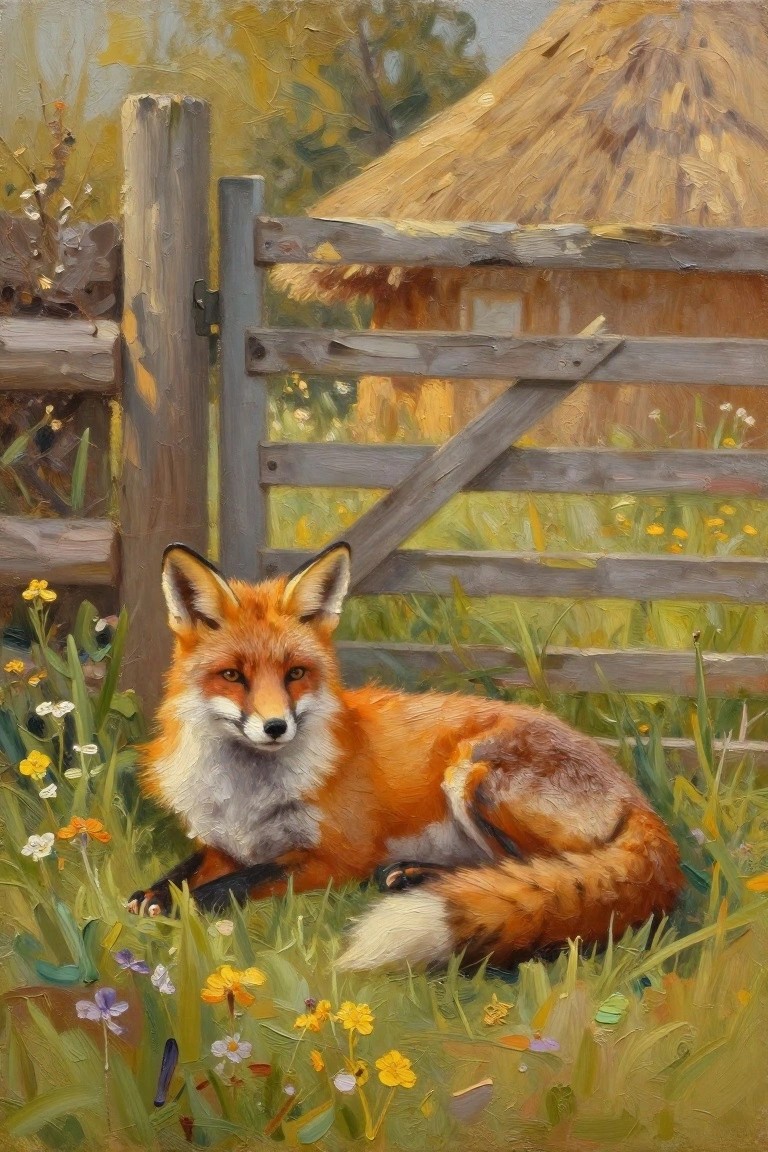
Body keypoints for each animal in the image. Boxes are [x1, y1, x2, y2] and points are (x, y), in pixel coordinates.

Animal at [127, 541, 684, 971]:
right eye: (233, 676)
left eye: (295, 674)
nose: (275, 727)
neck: (246, 794)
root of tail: (637, 798)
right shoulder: (223, 843)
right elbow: (188, 870)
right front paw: (151, 895)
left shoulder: (336, 857)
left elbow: (239, 883)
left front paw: (179, 907)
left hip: (473, 776)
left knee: (536, 870)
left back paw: (419, 878)